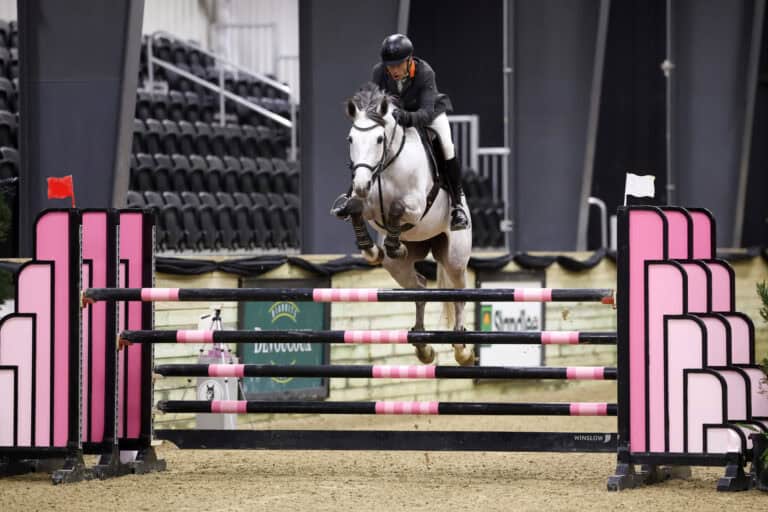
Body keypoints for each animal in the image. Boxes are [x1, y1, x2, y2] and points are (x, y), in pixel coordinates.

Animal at [341, 82, 474, 366]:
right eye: (350, 139)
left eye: (379, 139)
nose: (361, 184)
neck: (388, 164)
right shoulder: (368, 205)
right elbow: (356, 208)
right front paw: (371, 249)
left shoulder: (416, 207)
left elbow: (397, 209)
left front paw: (392, 244)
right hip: (399, 266)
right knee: (419, 287)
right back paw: (423, 345)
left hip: (455, 258)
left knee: (459, 293)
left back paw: (462, 349)